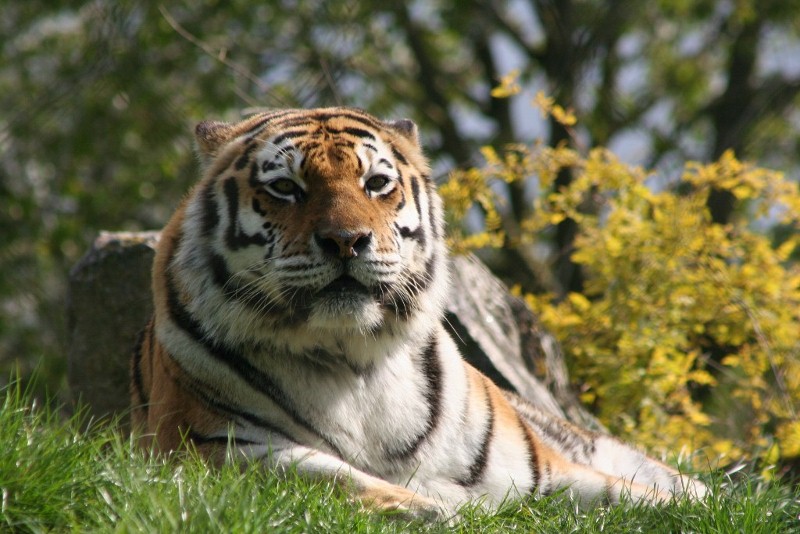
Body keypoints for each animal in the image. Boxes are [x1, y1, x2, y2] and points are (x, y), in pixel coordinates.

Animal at [130, 106, 706, 520]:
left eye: (376, 184)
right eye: (285, 188)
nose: (346, 240)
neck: (350, 358)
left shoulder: (545, 471)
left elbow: (646, 500)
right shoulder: (210, 448)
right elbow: (332, 477)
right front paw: (437, 508)